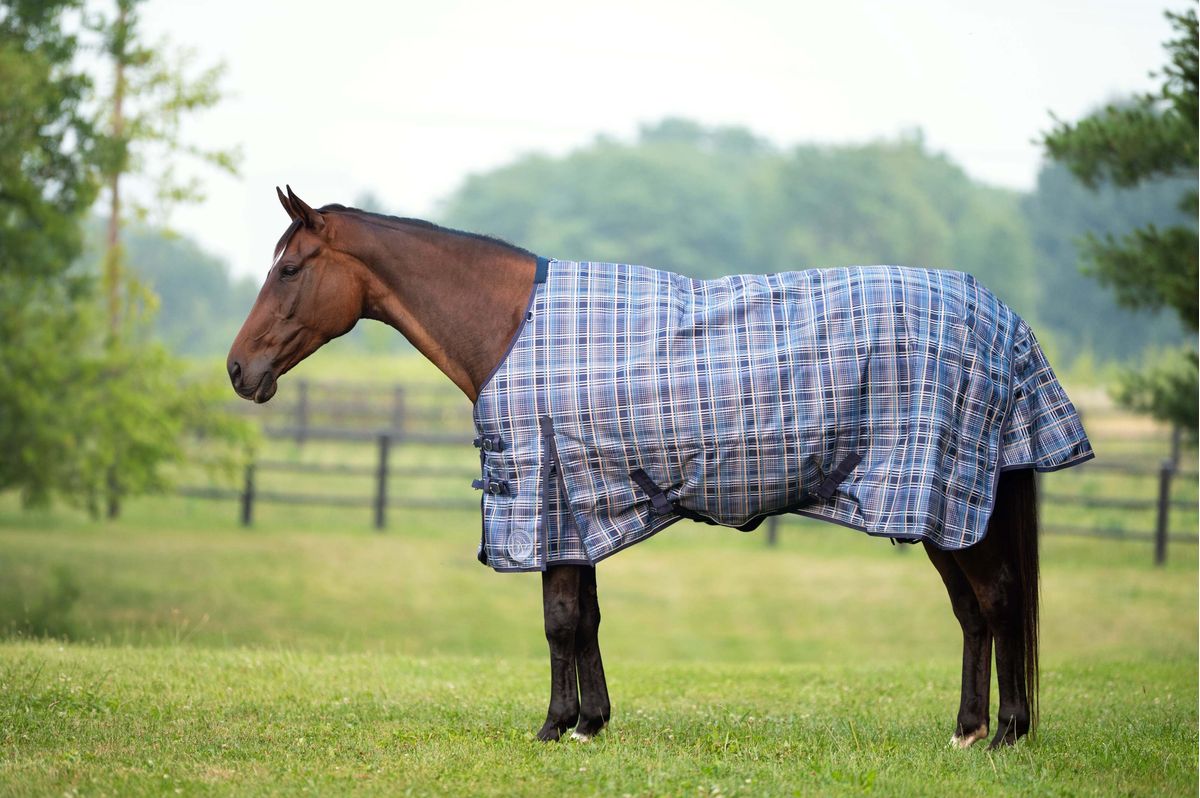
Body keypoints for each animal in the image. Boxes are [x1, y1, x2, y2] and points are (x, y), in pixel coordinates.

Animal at [228, 187, 1092, 749]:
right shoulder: (579, 505)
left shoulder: (549, 498)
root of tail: (1003, 319)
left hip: (947, 499)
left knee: (999, 602)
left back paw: (1008, 733)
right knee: (975, 613)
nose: (239, 370)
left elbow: (558, 620)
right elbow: (584, 619)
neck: (512, 327)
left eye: (290, 269)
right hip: (942, 507)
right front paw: (591, 721)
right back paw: (968, 730)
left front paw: (555, 727)